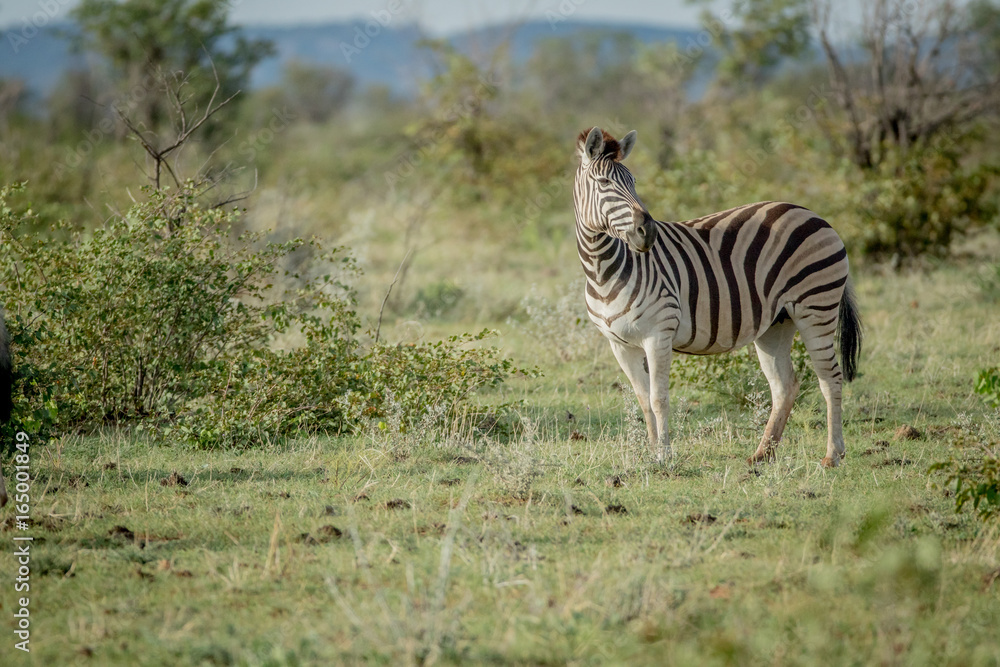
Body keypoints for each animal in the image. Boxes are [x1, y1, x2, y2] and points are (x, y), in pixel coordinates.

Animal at [574, 127, 862, 467]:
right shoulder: (619, 344)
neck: (603, 270)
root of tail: (816, 215)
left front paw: (664, 457)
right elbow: (643, 400)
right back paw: (763, 453)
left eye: (633, 183)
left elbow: (659, 399)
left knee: (830, 378)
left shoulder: (658, 334)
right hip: (777, 324)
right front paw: (651, 454)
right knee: (785, 386)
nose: (648, 231)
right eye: (604, 183)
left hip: (816, 308)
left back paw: (833, 455)